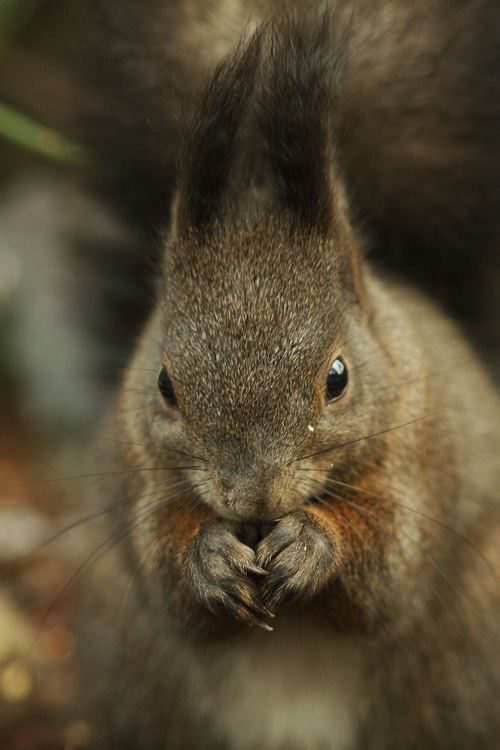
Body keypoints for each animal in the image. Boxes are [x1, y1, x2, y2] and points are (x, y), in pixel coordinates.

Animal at [73, 1, 500, 750]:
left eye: (338, 377)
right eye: (165, 386)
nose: (251, 499)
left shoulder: (420, 461)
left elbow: (388, 567)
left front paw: (310, 546)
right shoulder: (139, 471)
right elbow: (165, 570)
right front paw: (208, 559)